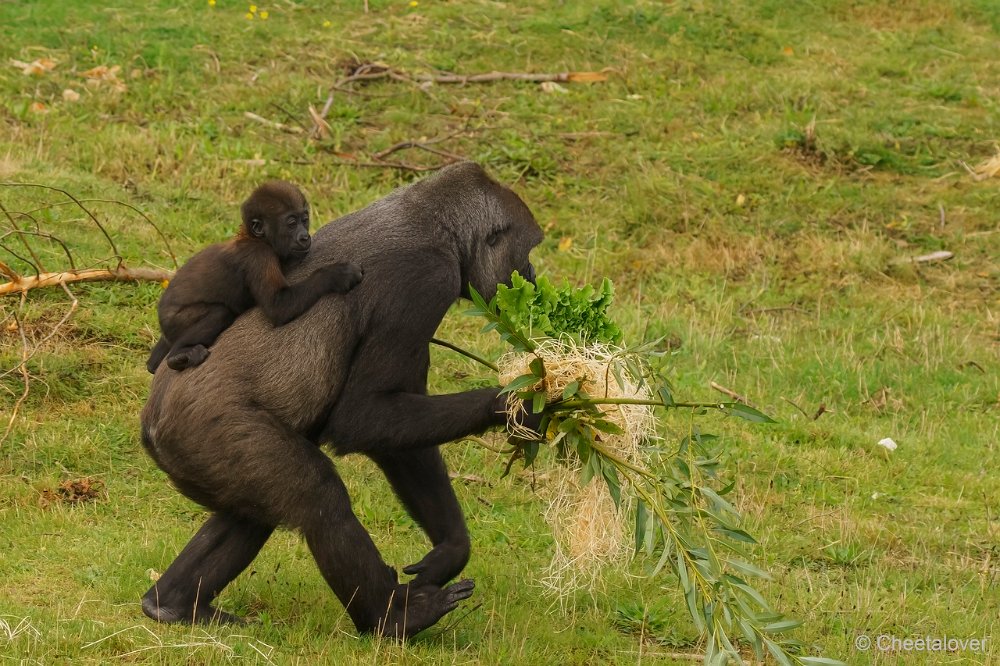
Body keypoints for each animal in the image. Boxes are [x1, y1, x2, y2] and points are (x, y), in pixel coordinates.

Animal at [148, 179, 364, 370]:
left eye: (305, 220)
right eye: (291, 223)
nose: (305, 236)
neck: (256, 238)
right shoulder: (259, 257)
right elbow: (279, 306)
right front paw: (336, 274)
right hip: (173, 321)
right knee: (219, 312)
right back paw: (179, 354)